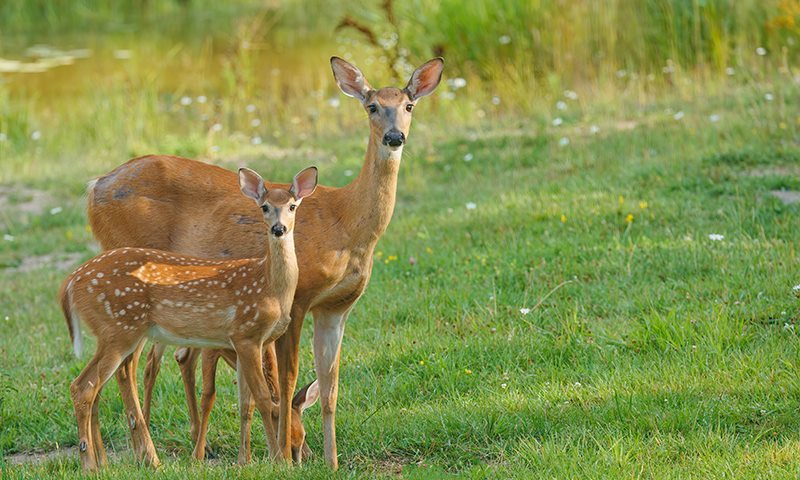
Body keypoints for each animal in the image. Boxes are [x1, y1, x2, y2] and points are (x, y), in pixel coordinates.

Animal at [60, 166, 318, 471]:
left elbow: (247, 402)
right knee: (86, 385)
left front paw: (246, 460)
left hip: (113, 333)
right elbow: (262, 399)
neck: (269, 287)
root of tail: (71, 282)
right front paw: (277, 460)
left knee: (98, 385)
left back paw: (104, 463)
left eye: (292, 206)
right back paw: (97, 463)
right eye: (264, 207)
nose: (279, 229)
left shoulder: (249, 343)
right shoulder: (245, 335)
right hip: (119, 329)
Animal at [85, 56, 444, 468]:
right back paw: (147, 455)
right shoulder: (299, 298)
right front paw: (285, 455)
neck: (346, 224)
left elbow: (330, 386)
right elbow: (287, 380)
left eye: (409, 106)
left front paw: (331, 461)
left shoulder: (337, 307)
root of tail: (94, 187)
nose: (394, 137)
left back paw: (111, 456)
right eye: (371, 106)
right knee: (126, 366)